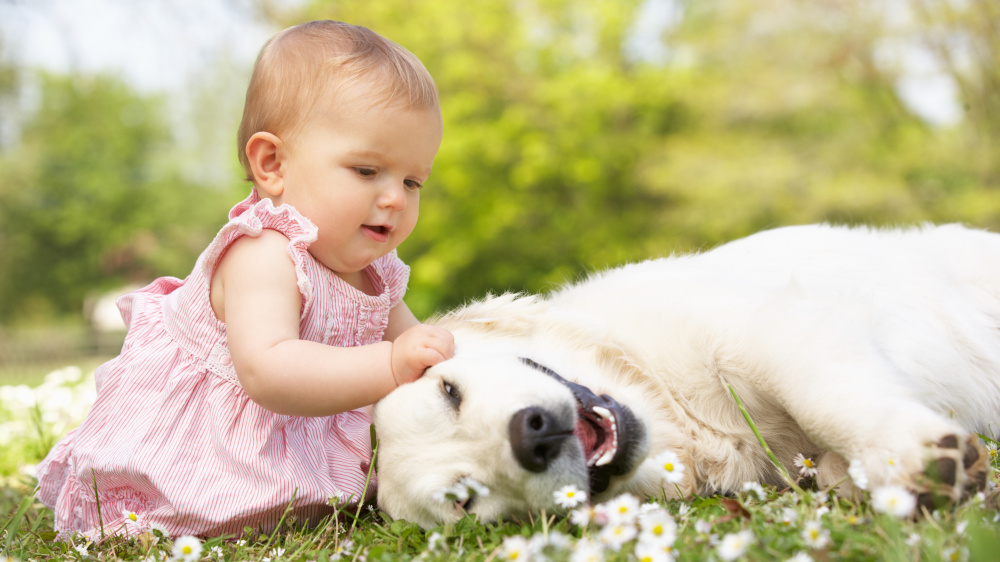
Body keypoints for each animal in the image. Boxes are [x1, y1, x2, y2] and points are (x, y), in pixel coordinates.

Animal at [372, 223, 996, 524]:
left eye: (449, 390)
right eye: (464, 500)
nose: (533, 437)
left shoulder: (768, 327)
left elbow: (825, 399)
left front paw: (909, 456)